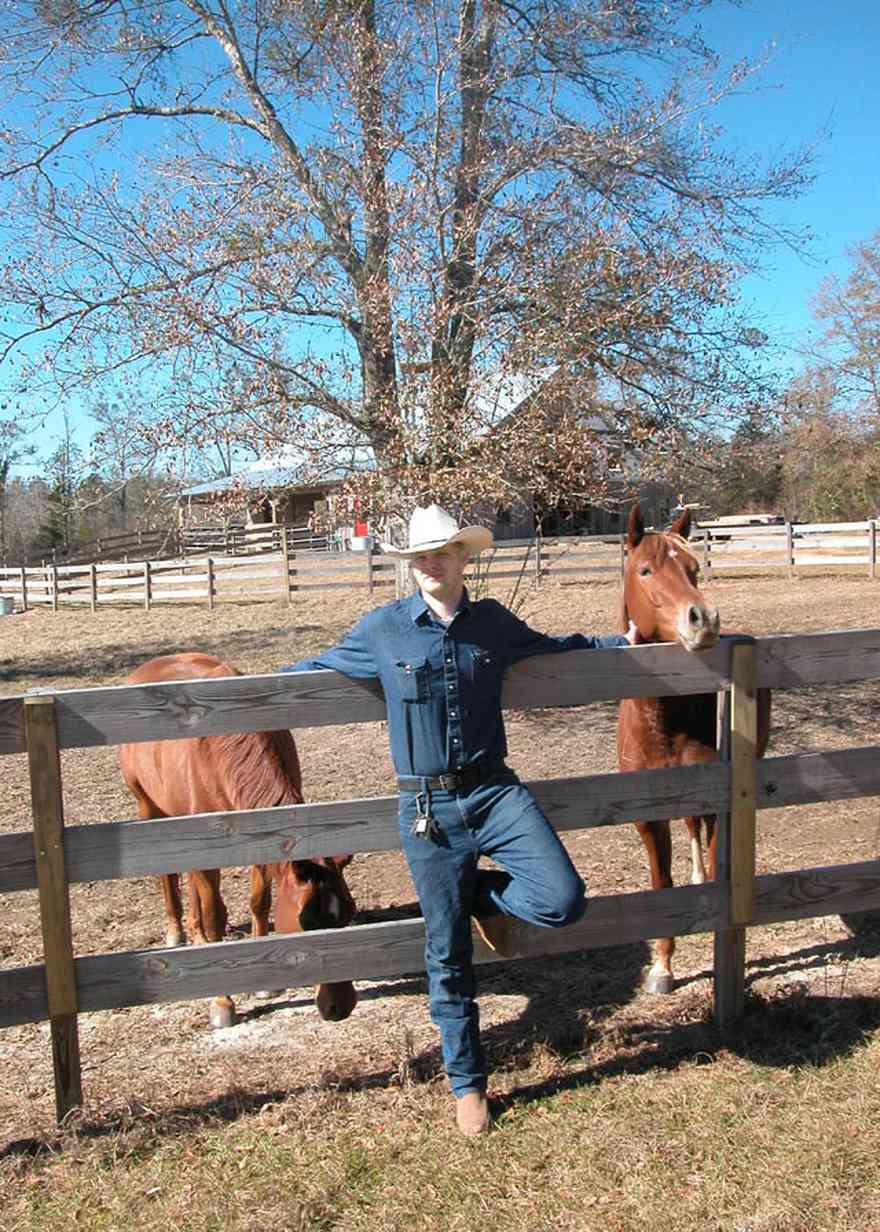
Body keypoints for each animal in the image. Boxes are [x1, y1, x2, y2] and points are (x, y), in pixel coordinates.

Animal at [119, 652, 357, 1029]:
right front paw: (222, 1003)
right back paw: (177, 931)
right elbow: (215, 913)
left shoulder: (264, 840)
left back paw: (195, 932)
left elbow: (259, 901)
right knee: (169, 875)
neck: (223, 750)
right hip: (149, 808)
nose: (341, 1006)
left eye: (349, 912)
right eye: (307, 923)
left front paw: (266, 983)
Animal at [618, 504, 771, 994]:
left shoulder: (718, 801)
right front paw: (663, 966)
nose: (703, 618)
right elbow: (661, 882)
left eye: (693, 570)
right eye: (645, 570)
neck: (663, 722)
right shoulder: (647, 814)